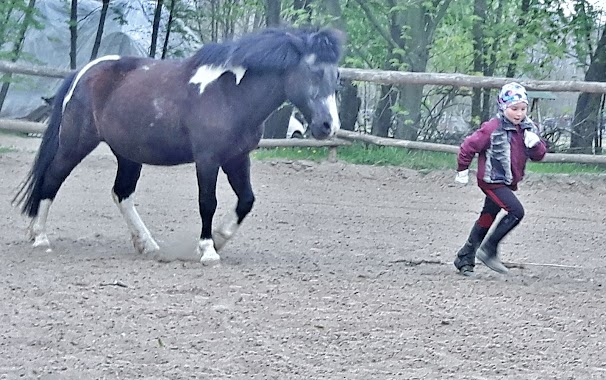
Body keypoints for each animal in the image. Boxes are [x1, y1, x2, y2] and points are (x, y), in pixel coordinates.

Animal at [14, 26, 344, 264]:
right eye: (315, 72)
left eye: (337, 75)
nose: (328, 126)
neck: (231, 95)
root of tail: (82, 73)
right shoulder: (208, 160)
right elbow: (207, 202)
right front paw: (208, 250)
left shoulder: (237, 158)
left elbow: (247, 200)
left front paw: (220, 238)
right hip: (75, 143)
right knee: (52, 178)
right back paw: (40, 236)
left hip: (128, 154)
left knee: (122, 193)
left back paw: (148, 246)